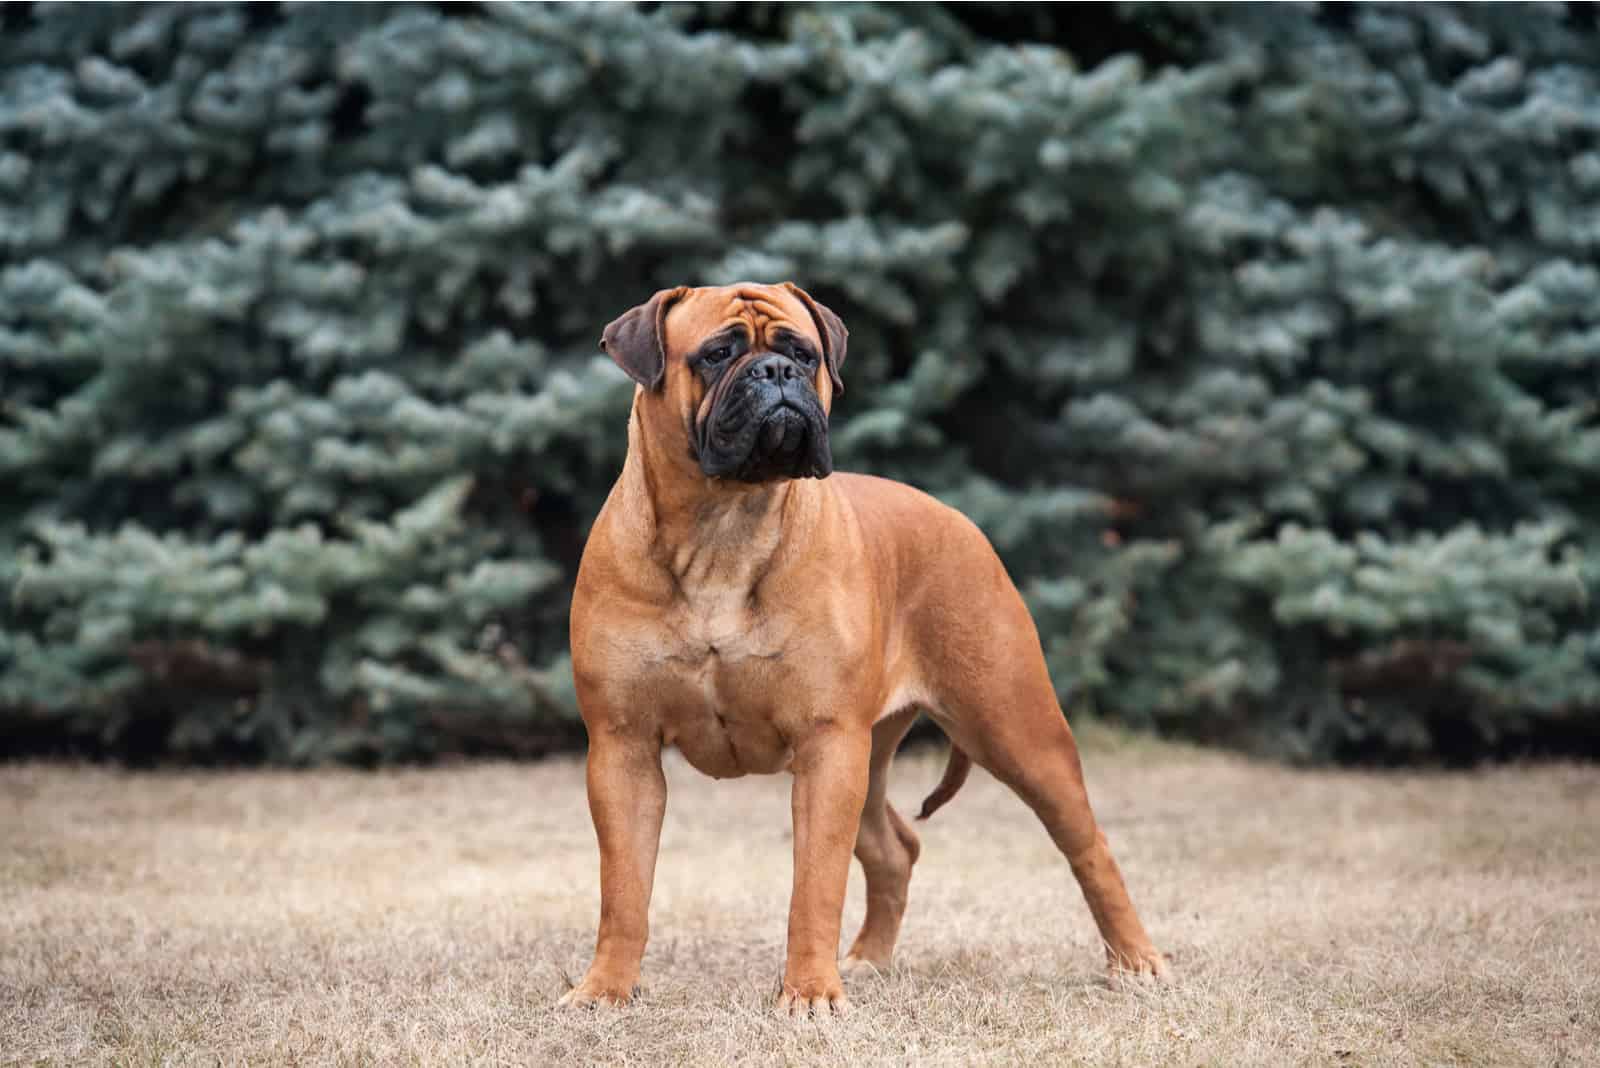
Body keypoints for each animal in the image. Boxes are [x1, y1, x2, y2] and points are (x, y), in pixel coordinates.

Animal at [560, 279, 1164, 1016]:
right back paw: (871, 959)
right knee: (892, 848)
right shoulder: (623, 747)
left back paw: (1136, 960)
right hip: (875, 754)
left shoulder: (827, 745)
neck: (722, 528)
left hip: (1016, 730)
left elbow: (815, 886)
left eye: (803, 353)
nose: (775, 373)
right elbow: (624, 889)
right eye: (716, 354)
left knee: (1089, 846)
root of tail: (959, 520)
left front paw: (811, 995)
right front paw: (604, 991)